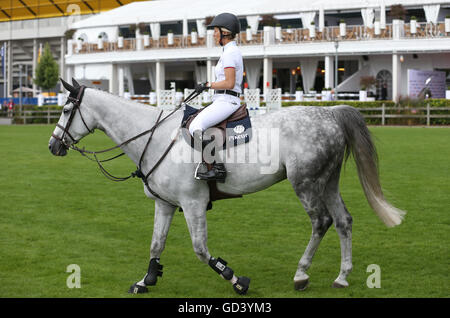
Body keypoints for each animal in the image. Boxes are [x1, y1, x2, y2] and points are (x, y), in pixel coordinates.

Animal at [48, 80, 404, 296]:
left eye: (66, 110)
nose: (53, 146)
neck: (155, 136)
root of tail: (329, 113)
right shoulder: (165, 204)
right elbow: (156, 245)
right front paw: (145, 280)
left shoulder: (192, 203)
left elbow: (201, 250)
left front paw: (236, 280)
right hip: (327, 181)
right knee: (344, 221)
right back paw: (342, 276)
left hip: (306, 183)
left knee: (322, 222)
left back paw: (301, 275)